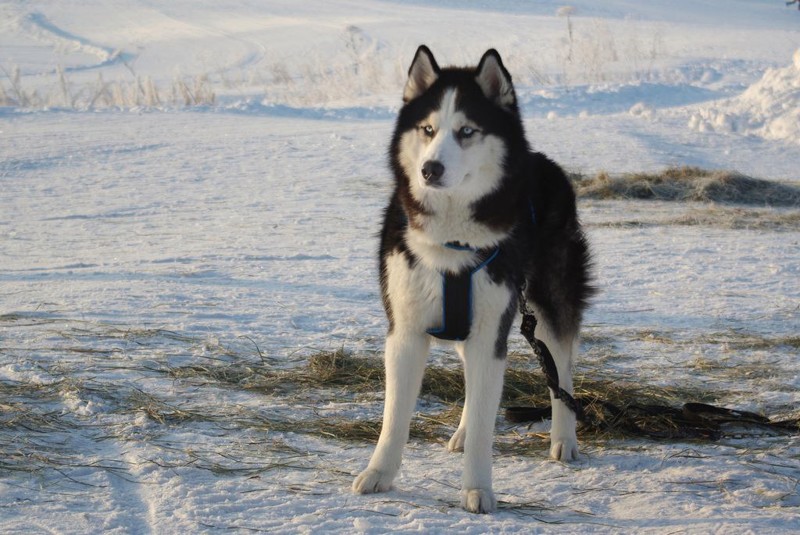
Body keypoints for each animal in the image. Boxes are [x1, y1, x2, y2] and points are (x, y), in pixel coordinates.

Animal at [354, 46, 592, 516]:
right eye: (428, 129)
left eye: (466, 131)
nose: (430, 169)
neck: (451, 238)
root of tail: (542, 160)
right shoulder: (405, 331)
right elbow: (395, 416)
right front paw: (379, 473)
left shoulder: (490, 332)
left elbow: (487, 418)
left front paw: (478, 488)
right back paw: (462, 432)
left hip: (547, 298)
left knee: (561, 366)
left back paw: (563, 438)